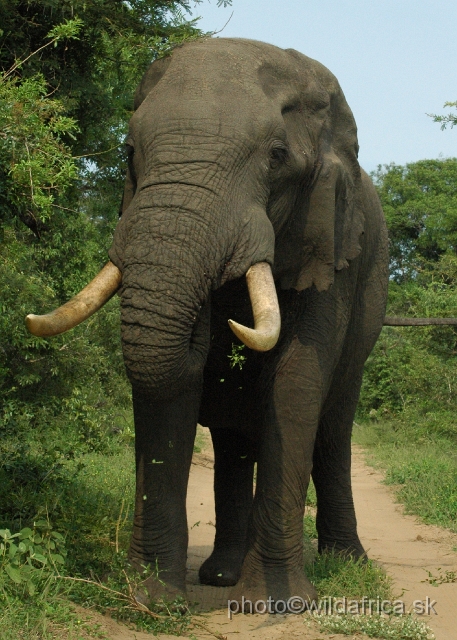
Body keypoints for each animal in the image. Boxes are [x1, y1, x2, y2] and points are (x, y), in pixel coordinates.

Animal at [25, 37, 388, 608]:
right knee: (234, 438)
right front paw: (153, 599)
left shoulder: (328, 243)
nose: (211, 318)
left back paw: (346, 562)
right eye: (129, 152)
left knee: (334, 428)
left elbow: (295, 385)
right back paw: (220, 575)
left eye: (277, 157)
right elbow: (169, 392)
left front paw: (280, 603)